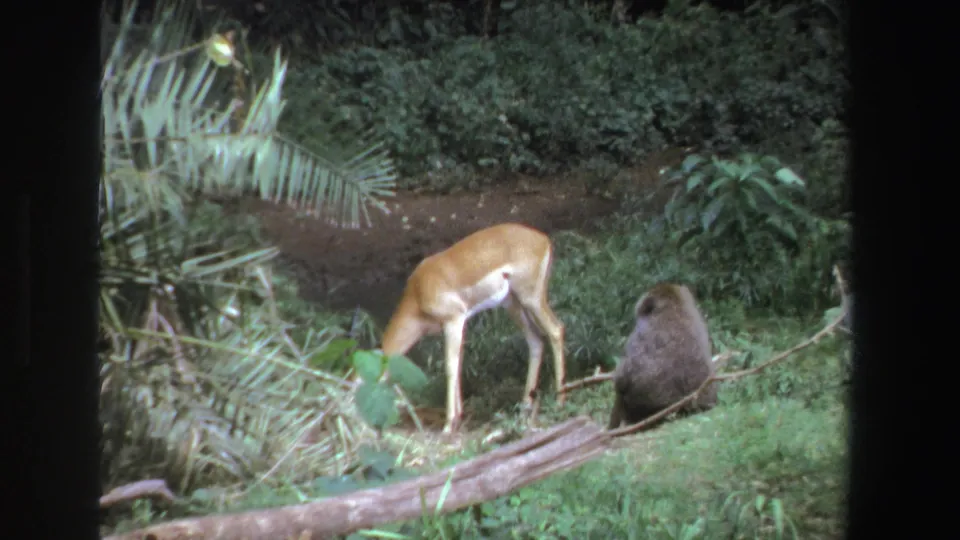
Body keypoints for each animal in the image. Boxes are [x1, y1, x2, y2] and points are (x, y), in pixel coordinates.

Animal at [380, 223, 566, 434]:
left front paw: (448, 424)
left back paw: (559, 401)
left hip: (531, 298)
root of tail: (543, 239)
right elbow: (458, 364)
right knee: (535, 340)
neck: (418, 292)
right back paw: (525, 406)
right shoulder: (454, 326)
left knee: (556, 329)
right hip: (514, 305)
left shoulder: (454, 320)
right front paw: (458, 417)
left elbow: (450, 367)